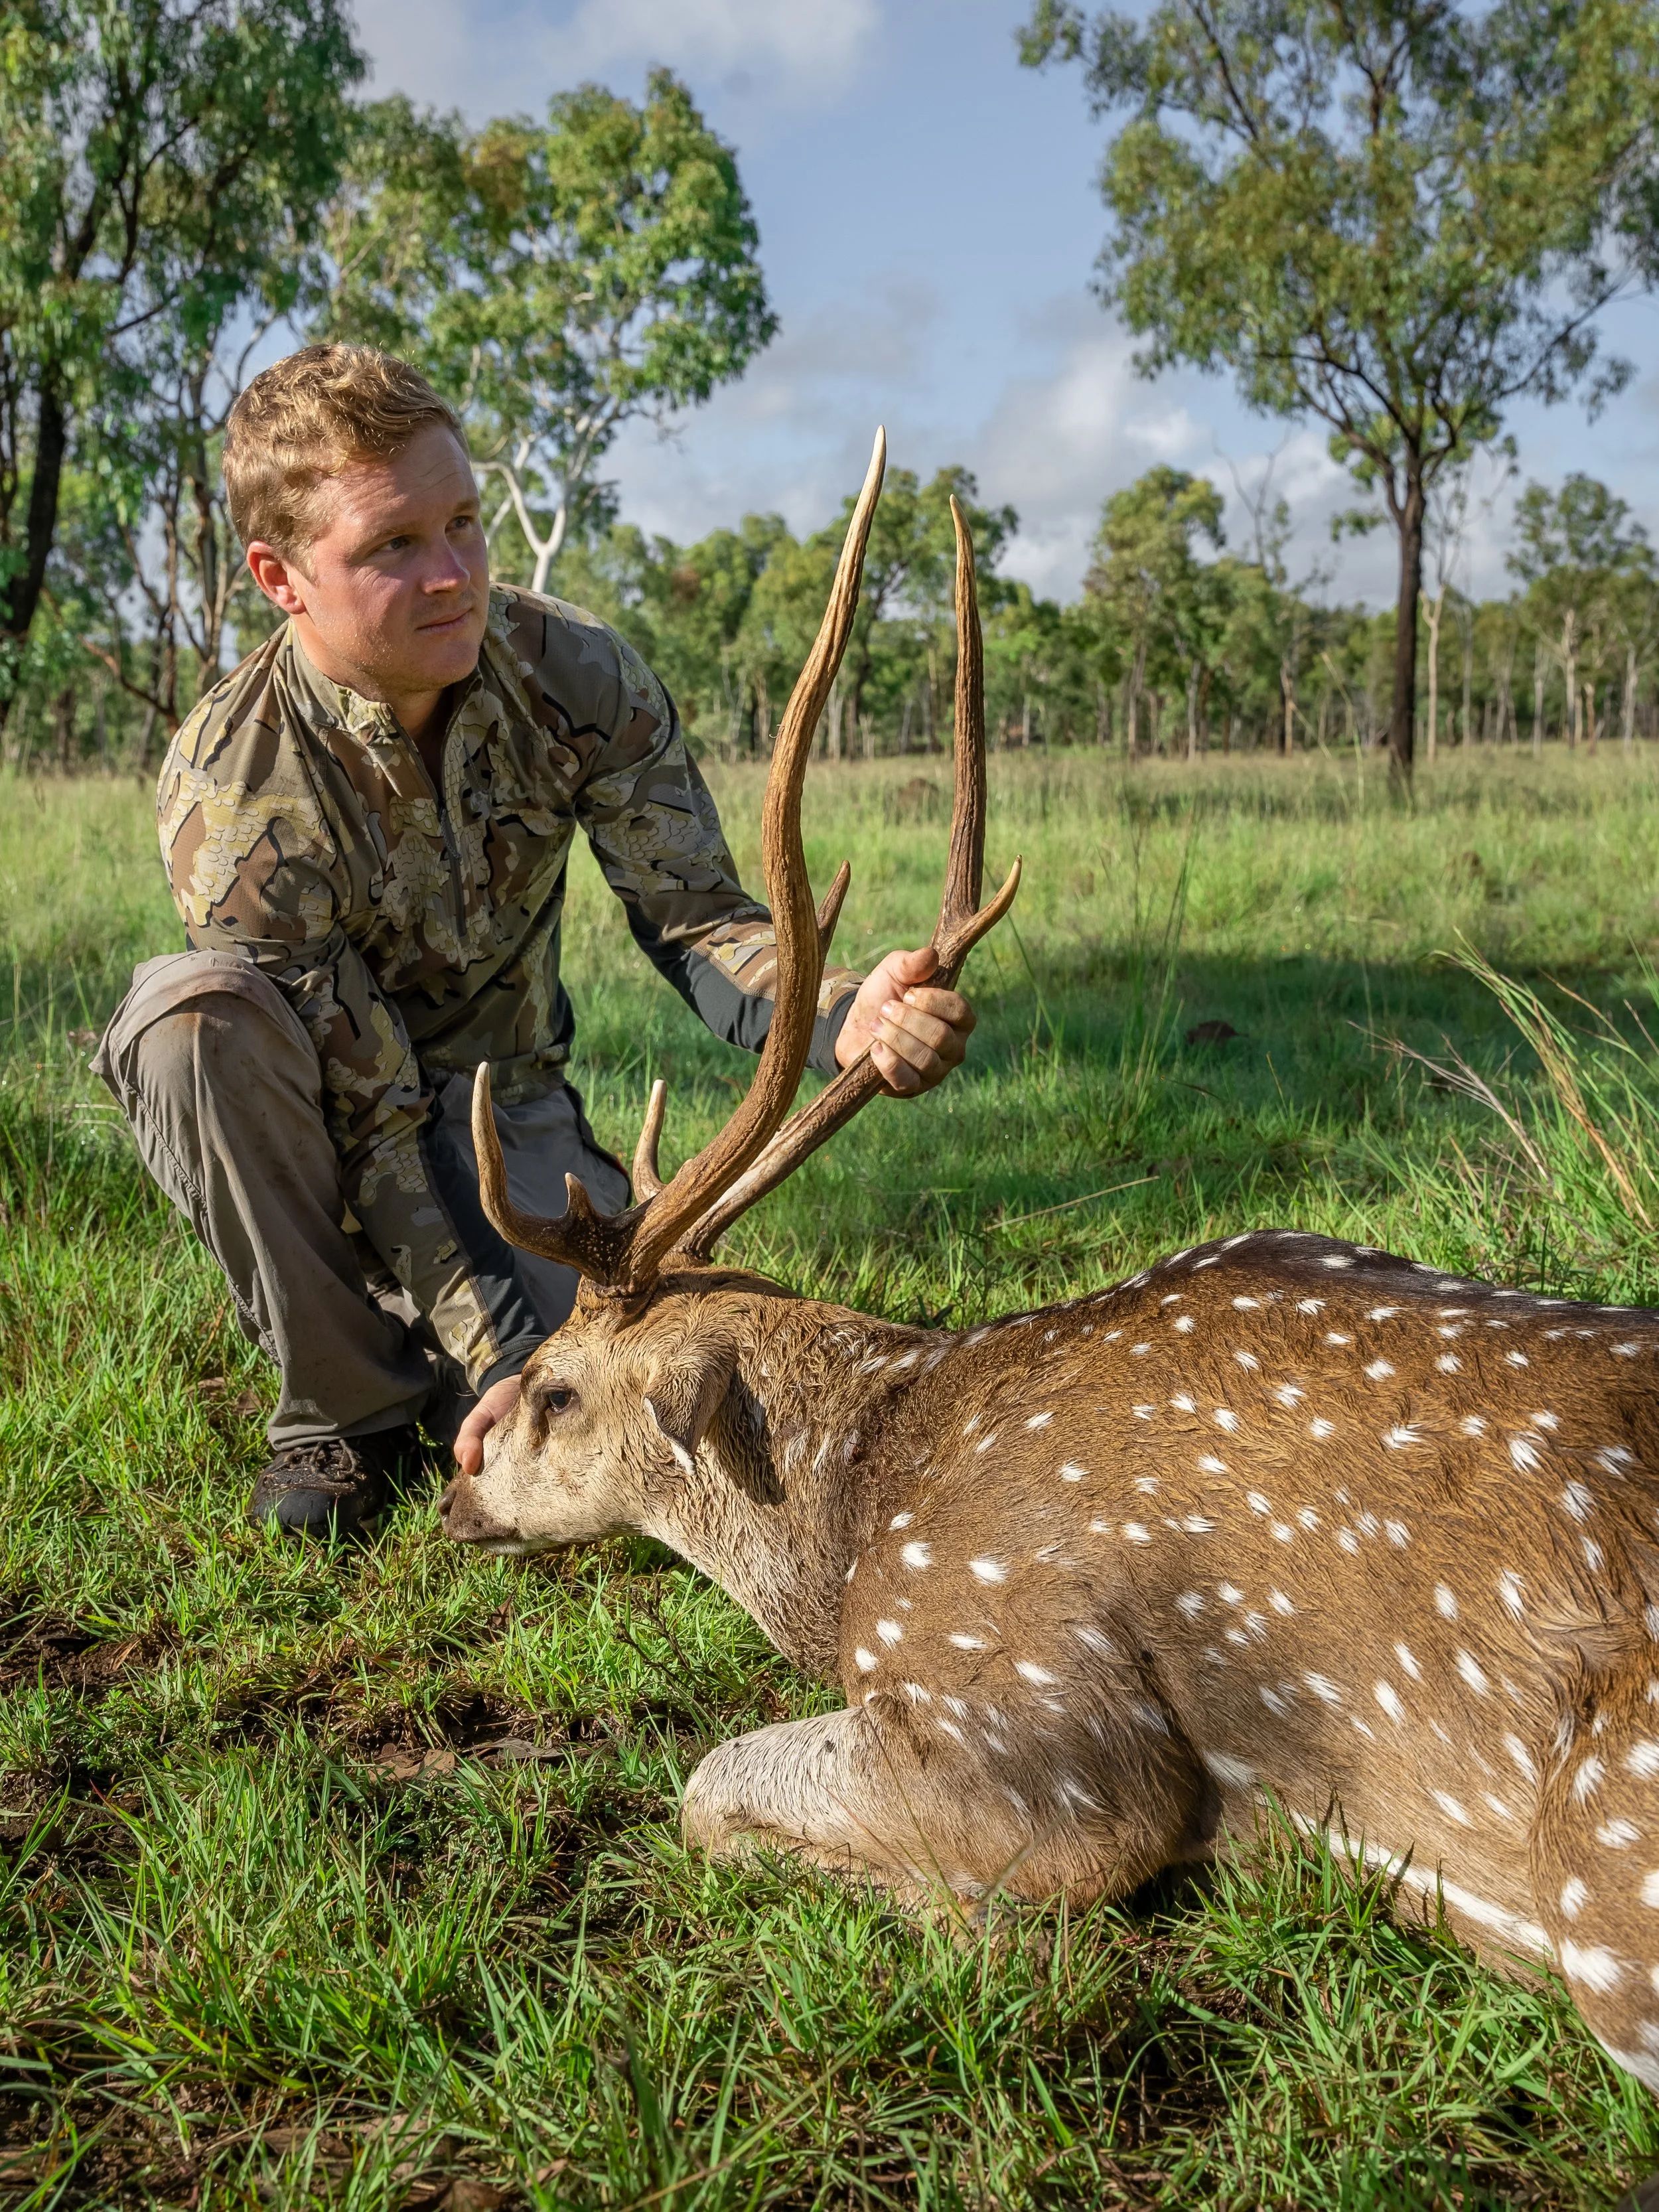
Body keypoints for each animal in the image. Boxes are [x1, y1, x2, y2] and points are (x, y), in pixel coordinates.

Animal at [440, 431, 1659, 2105]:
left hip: (1615, 1876)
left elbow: (708, 1785)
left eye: (556, 1388)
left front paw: (981, 1919)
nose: (456, 1478)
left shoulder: (1032, 1716)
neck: (856, 1528)